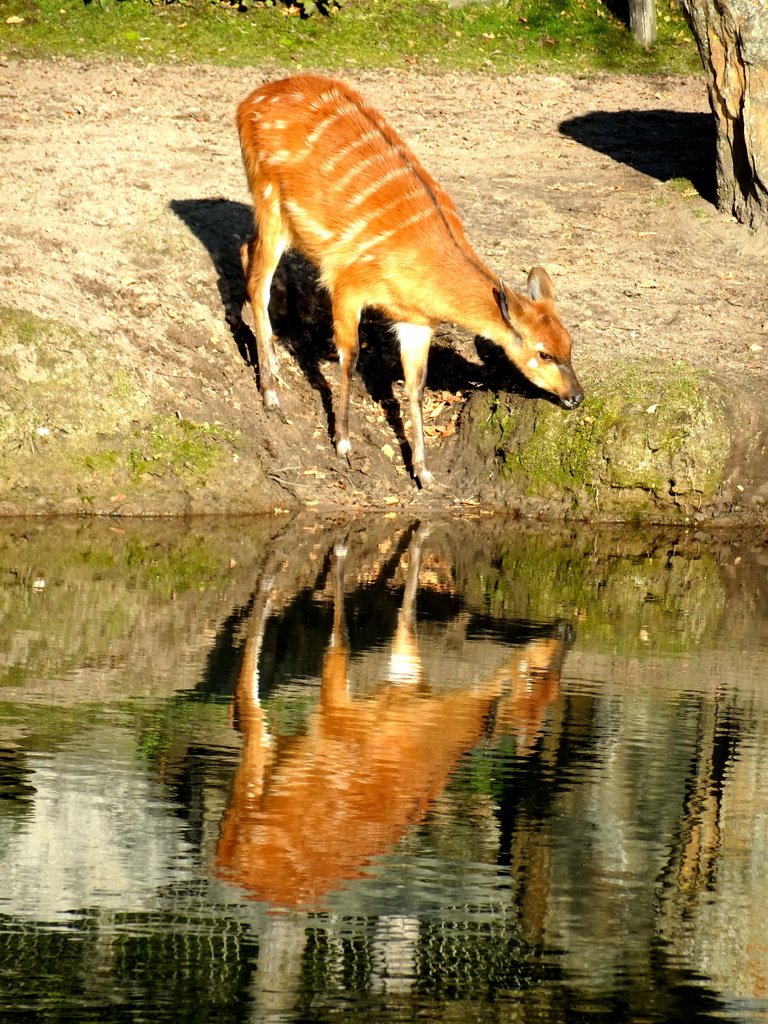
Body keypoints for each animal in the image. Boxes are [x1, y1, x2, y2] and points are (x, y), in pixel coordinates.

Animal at [237, 73, 585, 487]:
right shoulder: (347, 286)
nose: (577, 396)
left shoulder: (416, 322)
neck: (426, 263)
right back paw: (270, 394)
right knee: (259, 281)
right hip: (269, 199)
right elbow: (349, 358)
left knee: (245, 249)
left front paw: (423, 472)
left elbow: (415, 385)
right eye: (543, 352)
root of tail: (249, 101)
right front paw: (343, 445)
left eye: (570, 345)